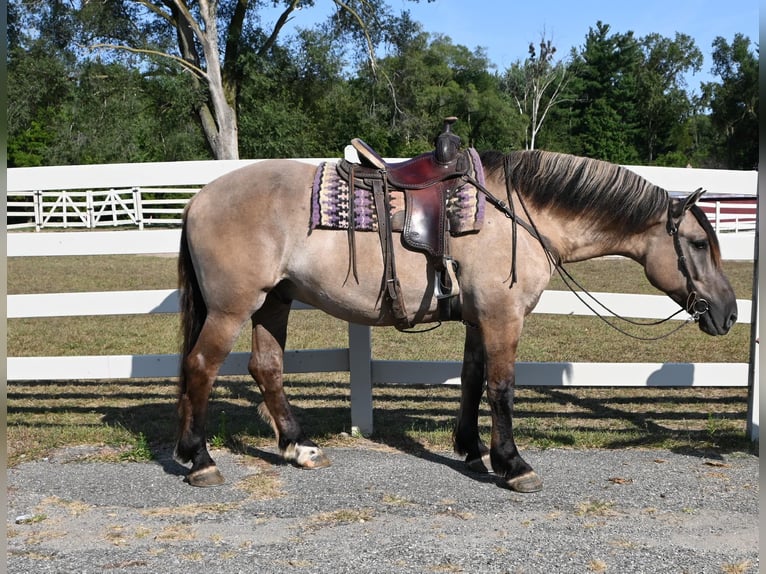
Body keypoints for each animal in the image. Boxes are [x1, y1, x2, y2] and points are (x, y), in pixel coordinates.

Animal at [174, 148, 737, 492]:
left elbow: (471, 379)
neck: (520, 213)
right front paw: (513, 464)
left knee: (266, 368)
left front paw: (470, 450)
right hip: (232, 308)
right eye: (695, 243)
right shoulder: (502, 315)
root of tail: (198, 199)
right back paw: (199, 459)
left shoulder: (477, 317)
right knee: (201, 366)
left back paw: (298, 447)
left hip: (274, 301)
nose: (730, 313)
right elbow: (501, 387)